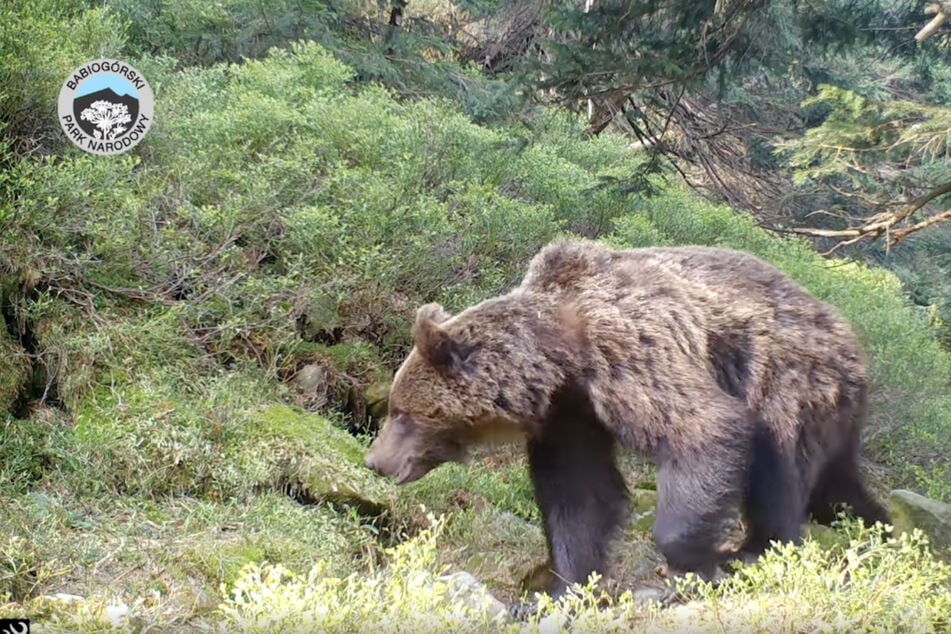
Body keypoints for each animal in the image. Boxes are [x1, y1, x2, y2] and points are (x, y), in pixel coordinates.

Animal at [362, 236, 884, 596]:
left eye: (402, 412)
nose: (375, 460)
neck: (563, 359)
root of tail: (849, 335)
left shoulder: (631, 354)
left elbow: (705, 429)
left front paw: (695, 558)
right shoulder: (572, 414)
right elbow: (579, 494)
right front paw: (565, 585)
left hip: (787, 381)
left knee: (779, 470)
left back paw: (757, 548)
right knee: (835, 484)